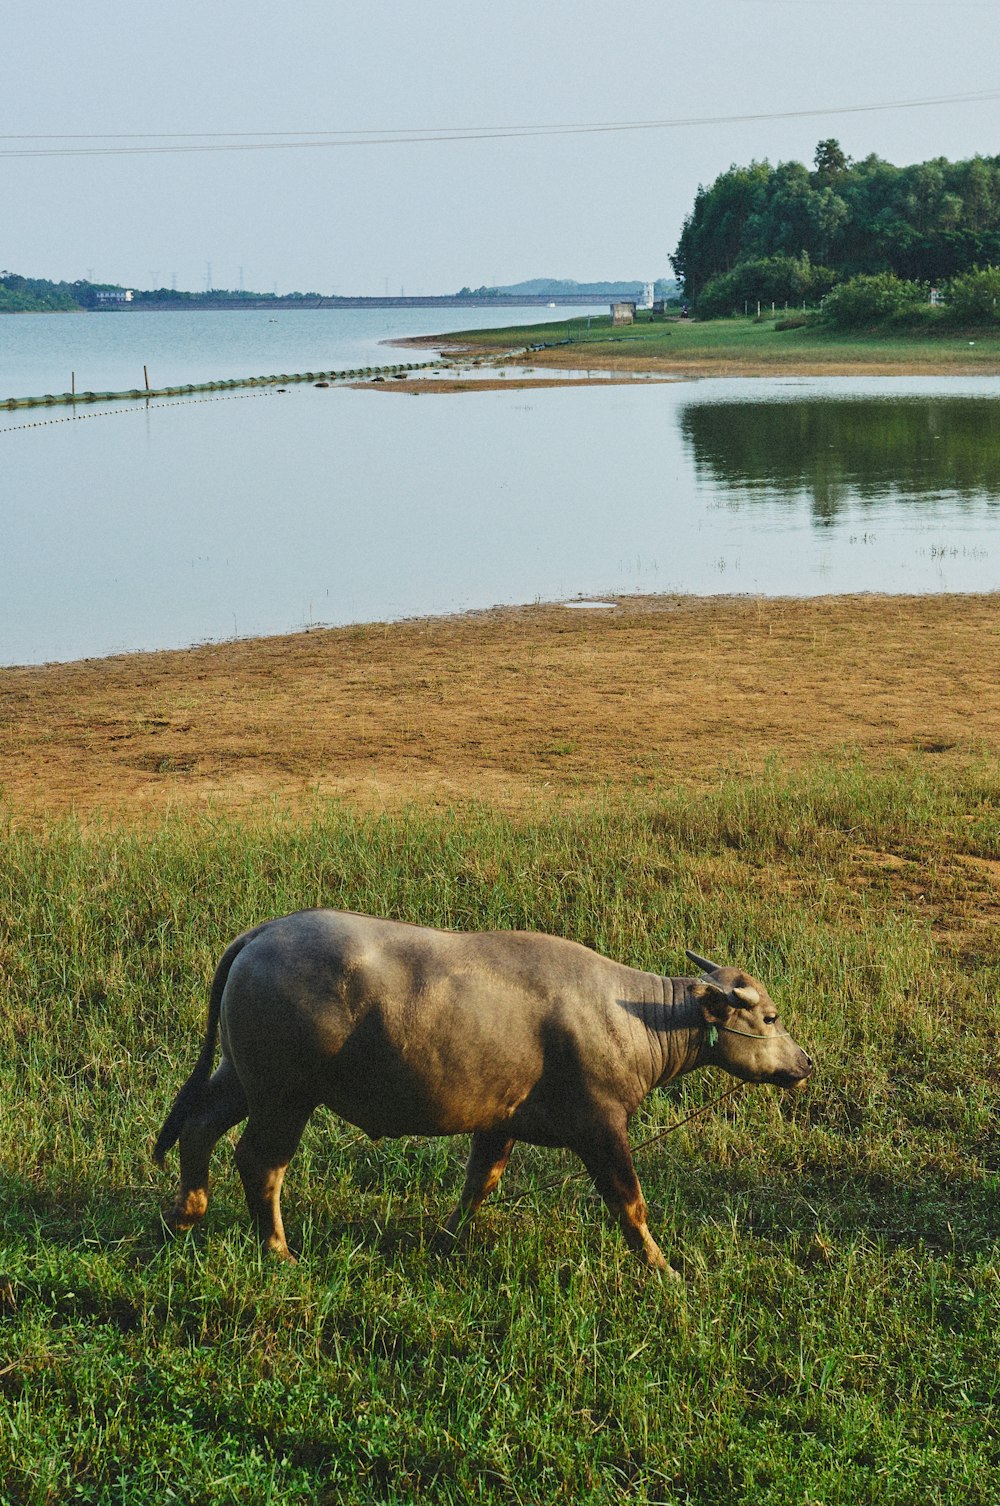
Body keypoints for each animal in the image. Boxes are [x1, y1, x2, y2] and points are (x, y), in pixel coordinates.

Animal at [156, 915, 813, 1271]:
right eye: (771, 1017)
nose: (804, 1063)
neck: (633, 1019)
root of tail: (261, 935)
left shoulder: (497, 1125)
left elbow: (480, 1184)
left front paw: (445, 1238)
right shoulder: (602, 1128)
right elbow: (631, 1204)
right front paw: (663, 1268)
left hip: (241, 1077)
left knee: (199, 1125)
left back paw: (187, 1212)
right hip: (284, 1096)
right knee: (260, 1163)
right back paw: (277, 1249)